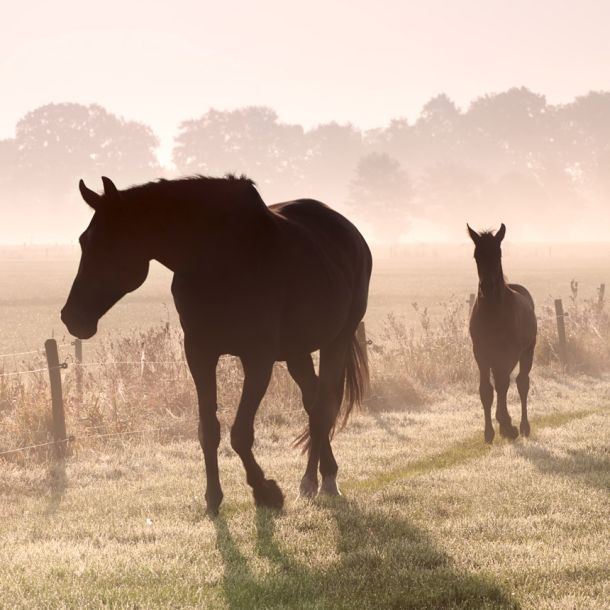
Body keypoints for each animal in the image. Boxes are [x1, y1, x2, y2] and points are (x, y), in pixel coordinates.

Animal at [61, 175, 372, 515]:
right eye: (83, 241)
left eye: (110, 243)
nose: (72, 317)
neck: (217, 259)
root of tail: (350, 233)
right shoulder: (199, 354)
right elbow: (208, 430)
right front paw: (213, 497)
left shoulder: (258, 359)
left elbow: (240, 434)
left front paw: (266, 492)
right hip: (297, 352)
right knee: (313, 401)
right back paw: (317, 477)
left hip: (337, 340)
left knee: (322, 408)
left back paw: (320, 480)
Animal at [467, 224, 537, 444]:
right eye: (476, 255)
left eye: (498, 254)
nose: (487, 287)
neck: (493, 313)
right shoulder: (480, 353)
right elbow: (486, 390)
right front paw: (489, 432)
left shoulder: (508, 353)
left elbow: (503, 384)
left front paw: (507, 425)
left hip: (527, 351)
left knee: (521, 382)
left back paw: (523, 427)